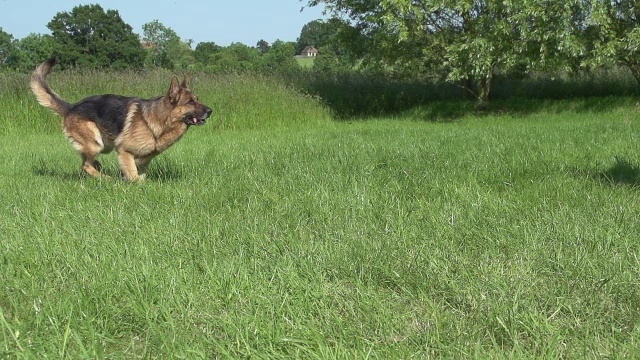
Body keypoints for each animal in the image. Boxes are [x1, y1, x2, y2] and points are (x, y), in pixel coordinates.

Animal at [30, 59, 212, 183]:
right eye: (190, 102)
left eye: (197, 99)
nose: (210, 111)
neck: (159, 121)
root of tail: (71, 107)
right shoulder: (124, 151)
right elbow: (133, 176)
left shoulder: (144, 160)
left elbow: (141, 176)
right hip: (96, 143)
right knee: (85, 166)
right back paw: (106, 179)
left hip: (104, 145)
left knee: (87, 162)